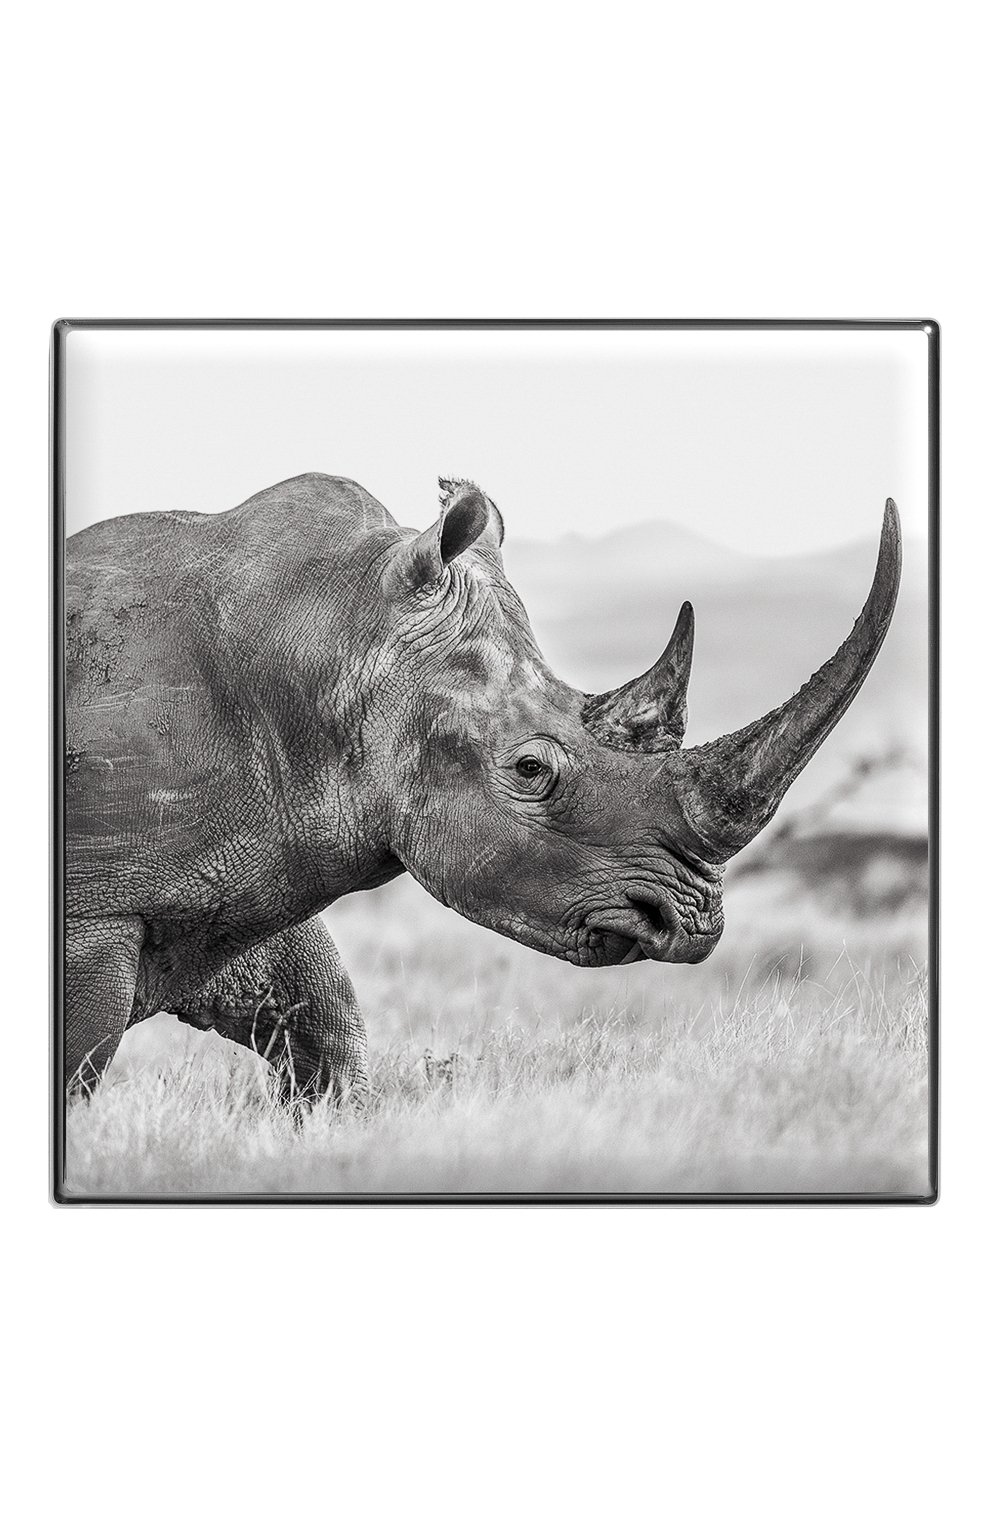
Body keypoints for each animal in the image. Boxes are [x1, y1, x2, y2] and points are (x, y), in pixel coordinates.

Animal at [63, 473, 901, 1098]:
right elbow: (79, 1070)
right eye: (532, 771)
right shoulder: (97, 910)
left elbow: (328, 1028)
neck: (337, 640)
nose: (693, 923)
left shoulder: (247, 860)